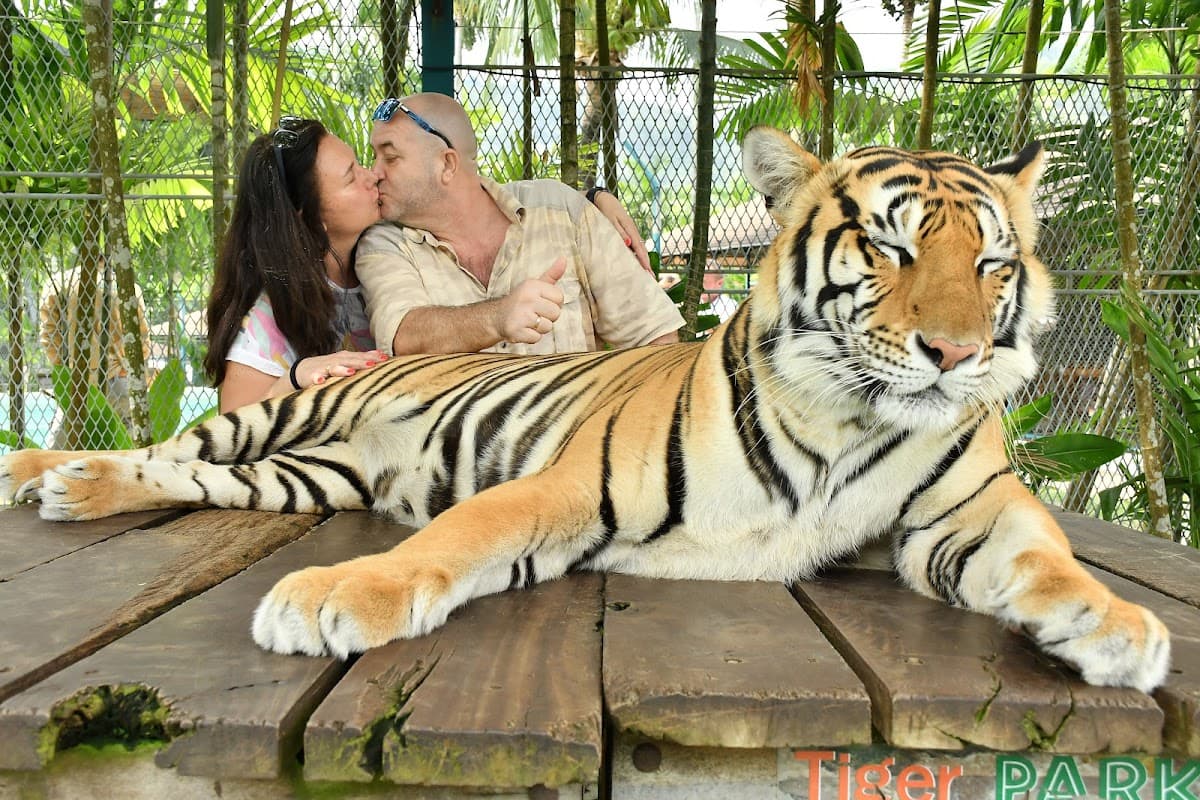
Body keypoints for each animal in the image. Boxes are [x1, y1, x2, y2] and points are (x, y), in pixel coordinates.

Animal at [0, 126, 1169, 692]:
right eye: (887, 247)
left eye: (992, 262)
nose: (957, 355)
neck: (852, 420)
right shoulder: (569, 485)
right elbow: (455, 535)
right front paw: (333, 595)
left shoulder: (963, 513)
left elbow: (1047, 551)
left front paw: (1114, 625)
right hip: (276, 420)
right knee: (173, 439)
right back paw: (35, 470)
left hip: (301, 477)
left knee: (192, 475)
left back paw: (78, 487)